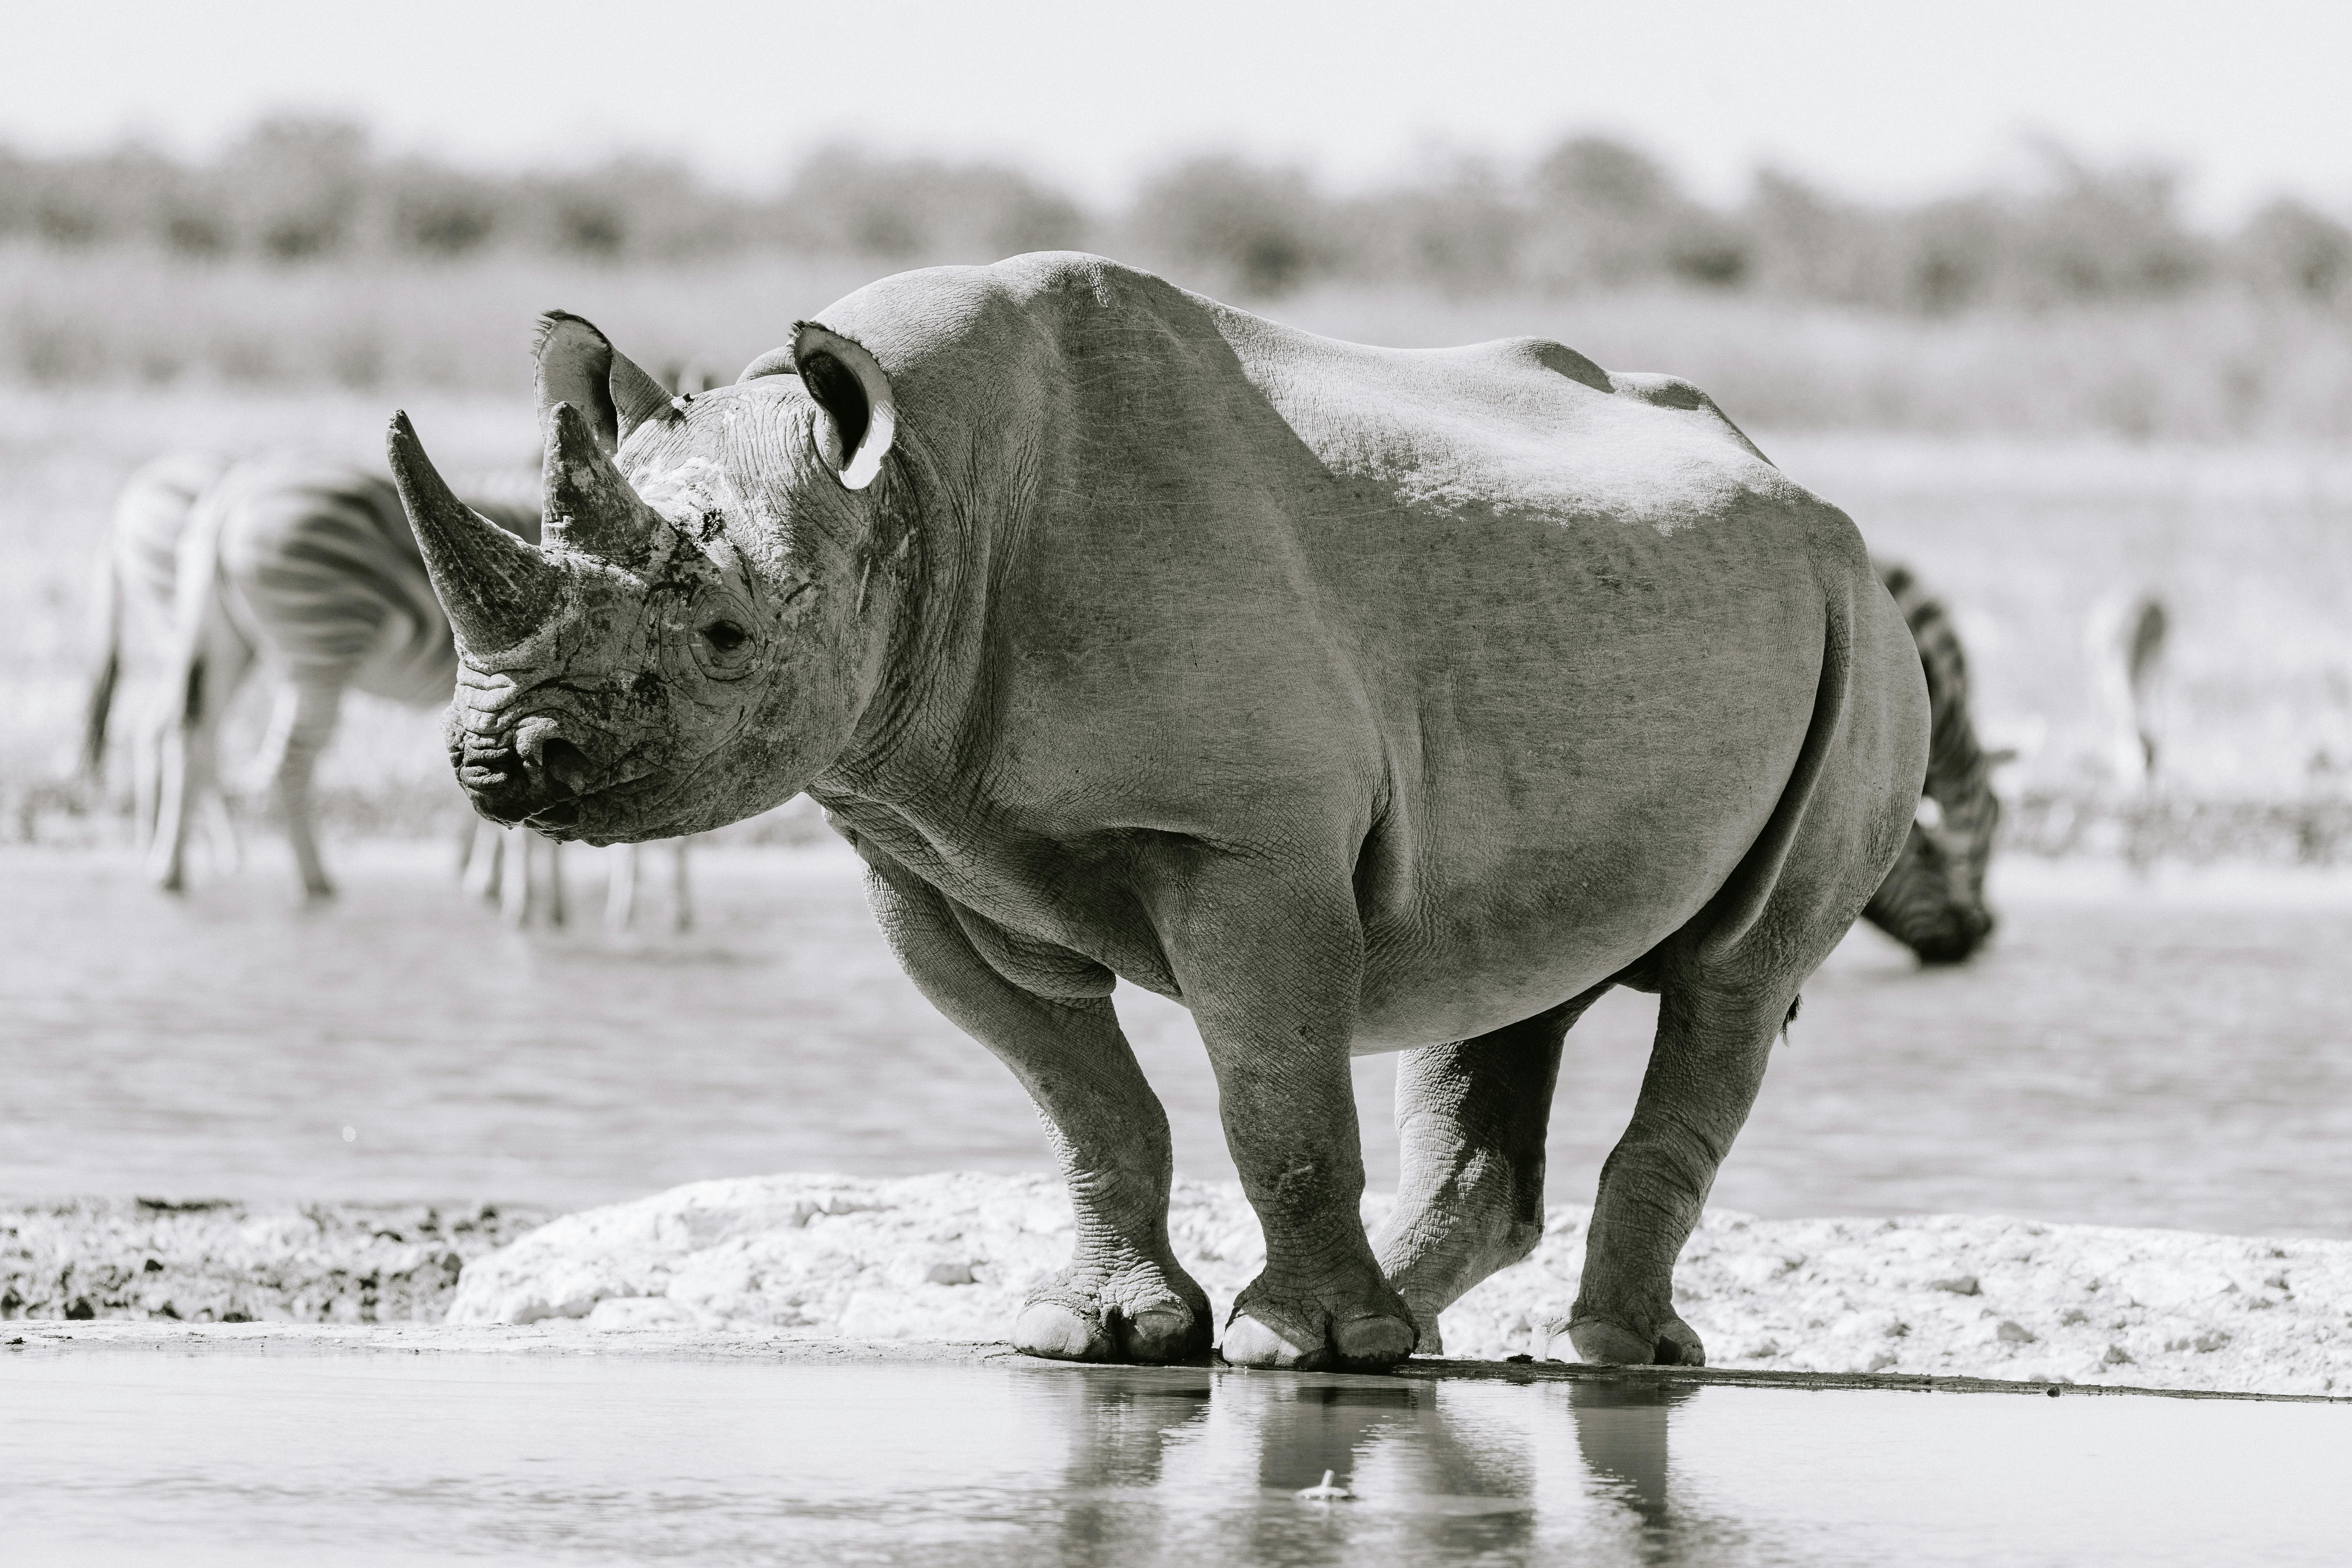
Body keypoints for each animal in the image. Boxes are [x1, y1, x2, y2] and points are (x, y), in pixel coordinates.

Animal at [83, 446, 687, 926]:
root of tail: (228, 498)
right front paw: (530, 900)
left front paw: (492, 882)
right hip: (320, 647)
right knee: (284, 761)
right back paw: (313, 881)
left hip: (221, 639)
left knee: (184, 734)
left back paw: (171, 867)